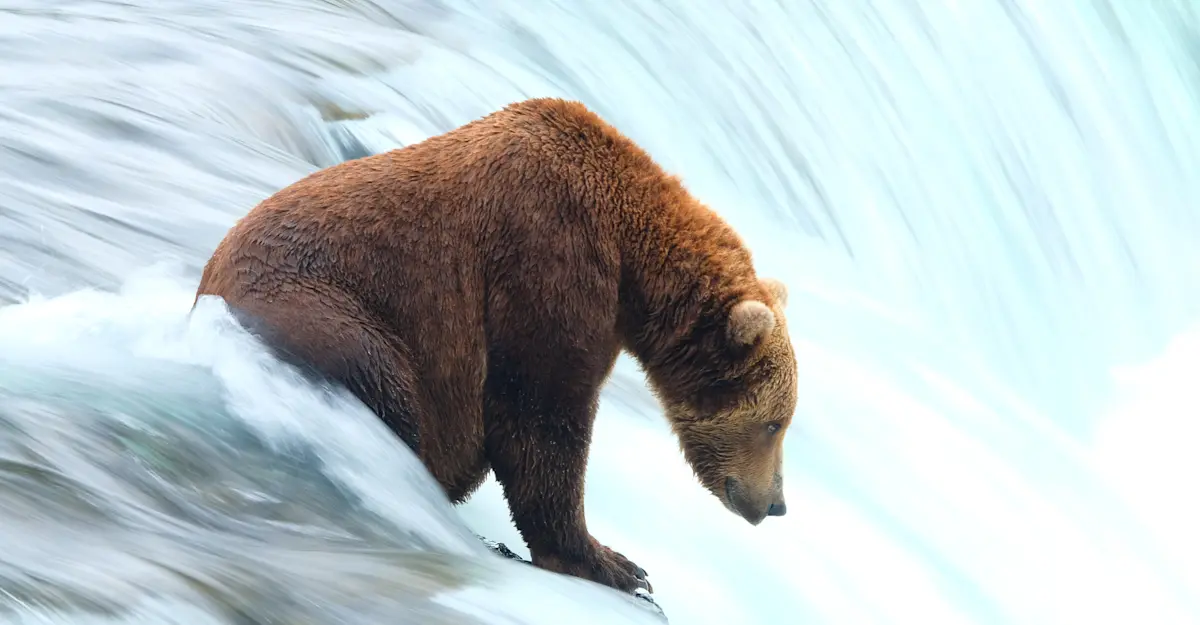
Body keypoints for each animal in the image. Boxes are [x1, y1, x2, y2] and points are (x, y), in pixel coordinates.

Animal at [193, 97, 798, 595]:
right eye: (774, 424)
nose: (776, 503)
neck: (631, 261)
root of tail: (203, 295)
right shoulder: (547, 255)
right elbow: (539, 414)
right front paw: (615, 564)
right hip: (329, 316)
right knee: (387, 391)